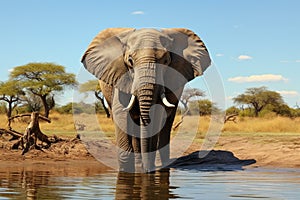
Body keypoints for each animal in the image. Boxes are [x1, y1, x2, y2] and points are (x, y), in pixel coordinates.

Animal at [80, 27, 211, 173]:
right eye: (130, 61)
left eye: (166, 61)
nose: (148, 171)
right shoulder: (120, 76)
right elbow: (121, 113)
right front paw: (126, 170)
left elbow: (158, 116)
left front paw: (149, 168)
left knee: (166, 124)